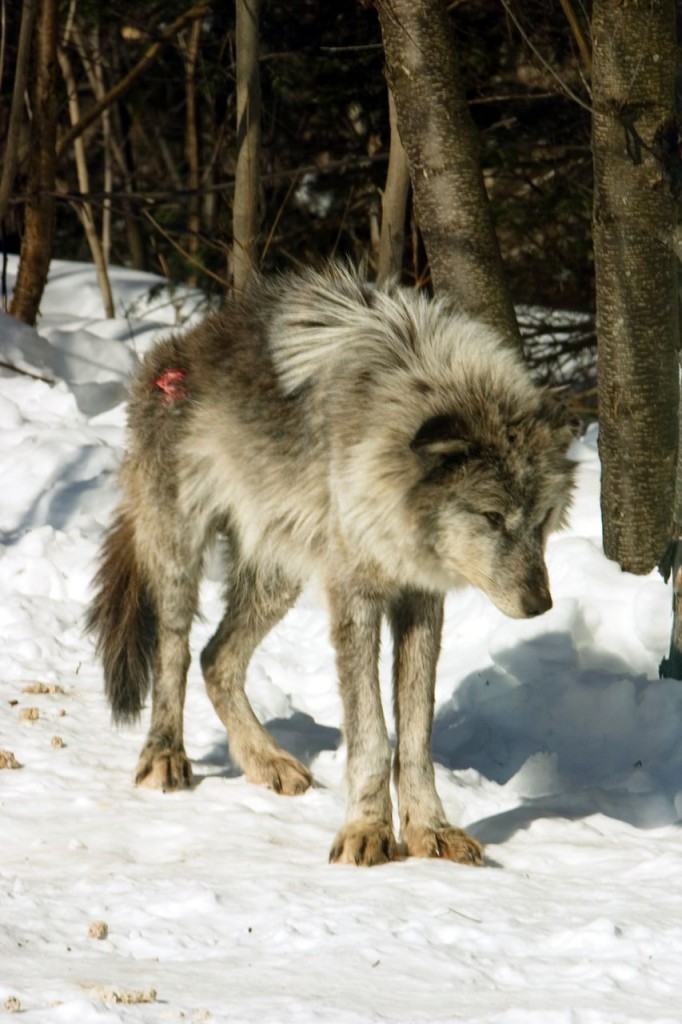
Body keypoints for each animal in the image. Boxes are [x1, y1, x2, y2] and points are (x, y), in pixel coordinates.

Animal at [88, 263, 576, 867]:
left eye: (542, 518)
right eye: (491, 517)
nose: (540, 605)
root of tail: (168, 353)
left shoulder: (420, 600)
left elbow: (415, 737)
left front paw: (430, 830)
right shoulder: (356, 597)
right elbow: (370, 735)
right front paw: (368, 830)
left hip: (280, 578)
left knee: (216, 658)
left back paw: (267, 762)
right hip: (182, 557)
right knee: (175, 651)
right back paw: (164, 756)